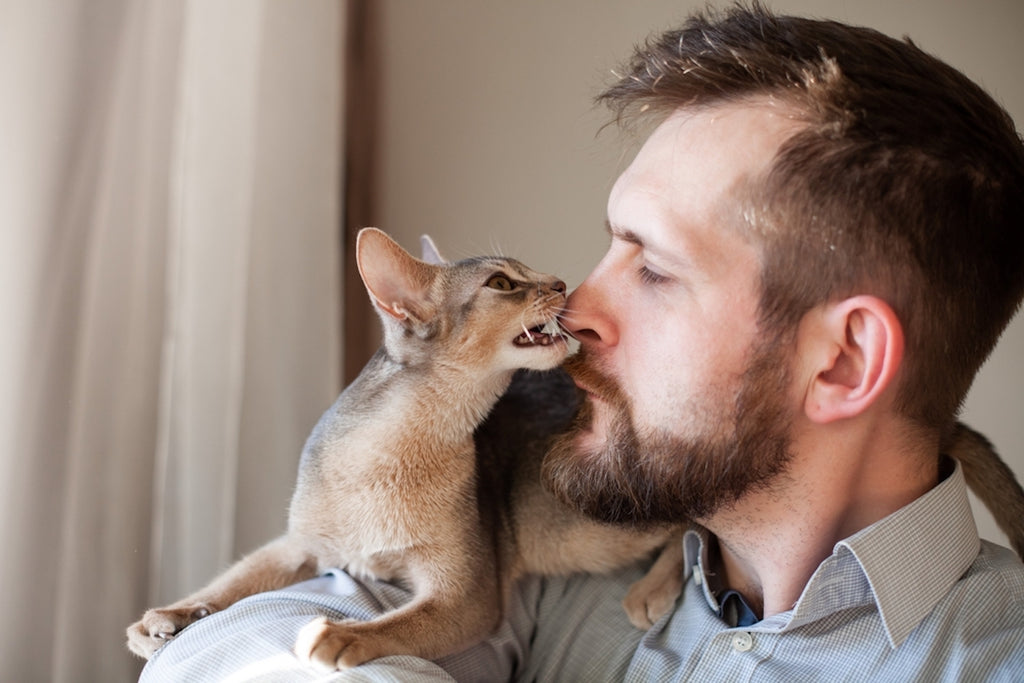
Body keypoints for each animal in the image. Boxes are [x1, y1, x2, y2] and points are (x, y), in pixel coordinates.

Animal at [125, 228, 671, 667]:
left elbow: (402, 624)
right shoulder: (298, 544)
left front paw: (342, 636)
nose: (560, 283)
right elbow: (238, 578)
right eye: (501, 284)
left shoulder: (468, 594)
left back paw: (651, 591)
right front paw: (170, 615)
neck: (388, 457)